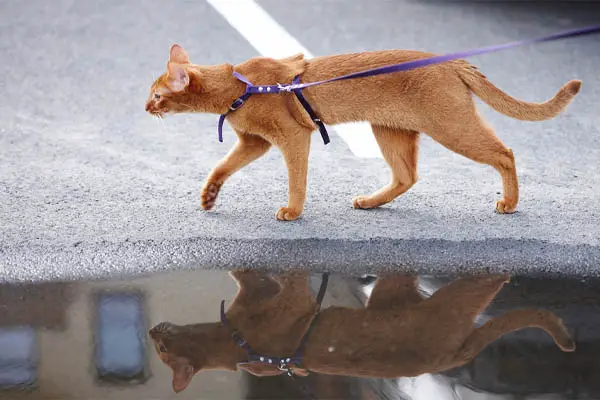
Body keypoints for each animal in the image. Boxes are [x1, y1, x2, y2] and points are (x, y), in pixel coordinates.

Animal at [145, 43, 580, 222]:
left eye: (156, 94)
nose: (145, 107)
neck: (241, 85)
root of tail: (454, 62)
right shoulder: (254, 142)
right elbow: (221, 166)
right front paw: (209, 196)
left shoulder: (293, 136)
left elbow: (296, 180)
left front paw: (293, 212)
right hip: (390, 129)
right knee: (407, 175)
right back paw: (370, 202)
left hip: (450, 126)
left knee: (506, 153)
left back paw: (510, 203)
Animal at [148, 270, 576, 392]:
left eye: (163, 352)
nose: (152, 332)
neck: (236, 344)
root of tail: (455, 355)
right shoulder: (285, 298)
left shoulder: (289, 300)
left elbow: (253, 272)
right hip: (401, 293)